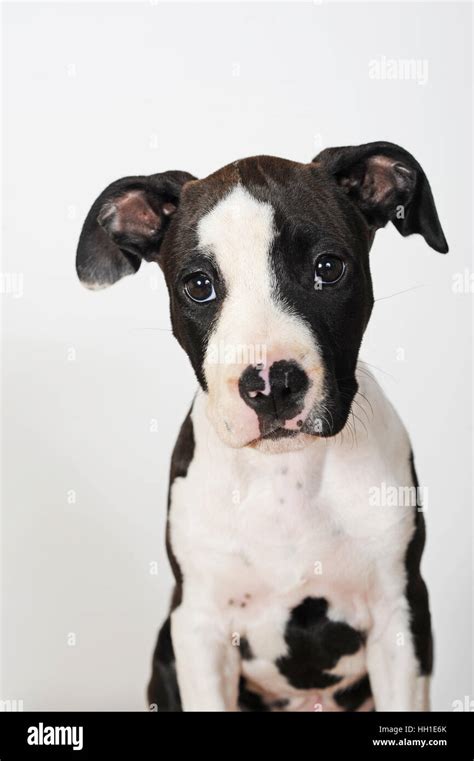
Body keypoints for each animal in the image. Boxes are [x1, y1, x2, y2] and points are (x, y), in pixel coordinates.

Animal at [75, 144, 448, 712]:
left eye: (328, 268)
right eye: (199, 285)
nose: (272, 384)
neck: (286, 477)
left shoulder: (401, 617)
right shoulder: (199, 628)